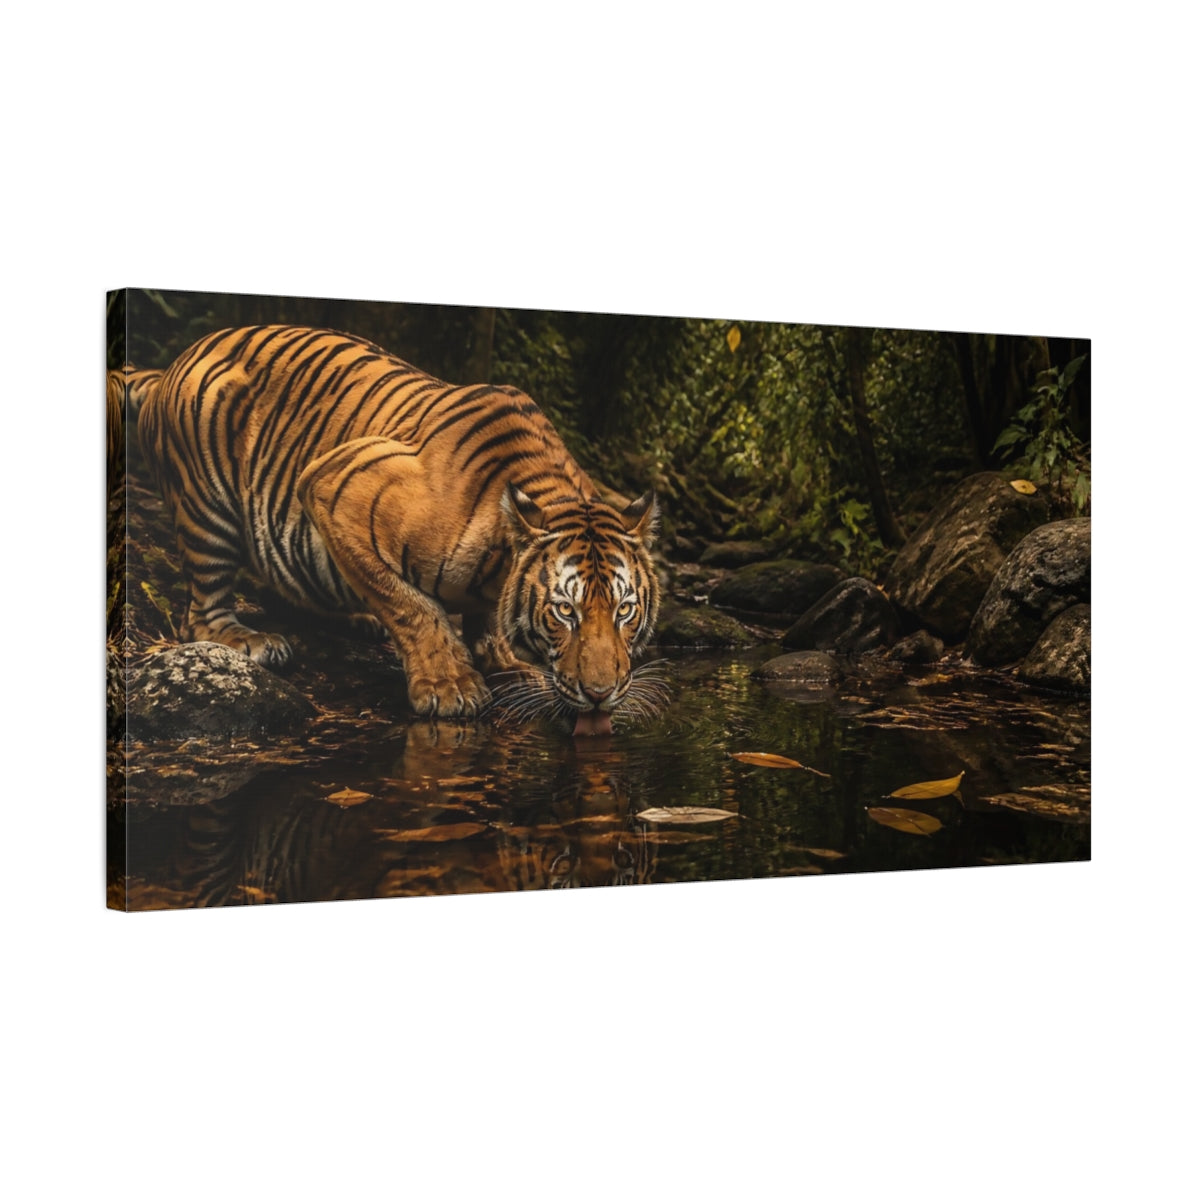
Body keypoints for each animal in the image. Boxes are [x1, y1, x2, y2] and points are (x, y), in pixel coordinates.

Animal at [135, 324, 666, 735]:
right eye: (563, 611)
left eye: (624, 610)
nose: (599, 694)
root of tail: (174, 362)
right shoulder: (332, 488)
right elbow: (413, 607)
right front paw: (450, 685)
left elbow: (483, 620)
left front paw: (502, 661)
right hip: (206, 507)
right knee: (200, 613)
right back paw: (250, 640)